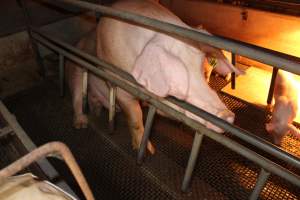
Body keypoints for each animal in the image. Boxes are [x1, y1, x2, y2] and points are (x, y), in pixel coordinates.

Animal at [95, 0, 241, 153]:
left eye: (201, 68)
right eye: (175, 80)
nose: (227, 115)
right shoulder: (120, 87)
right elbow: (135, 118)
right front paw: (148, 151)